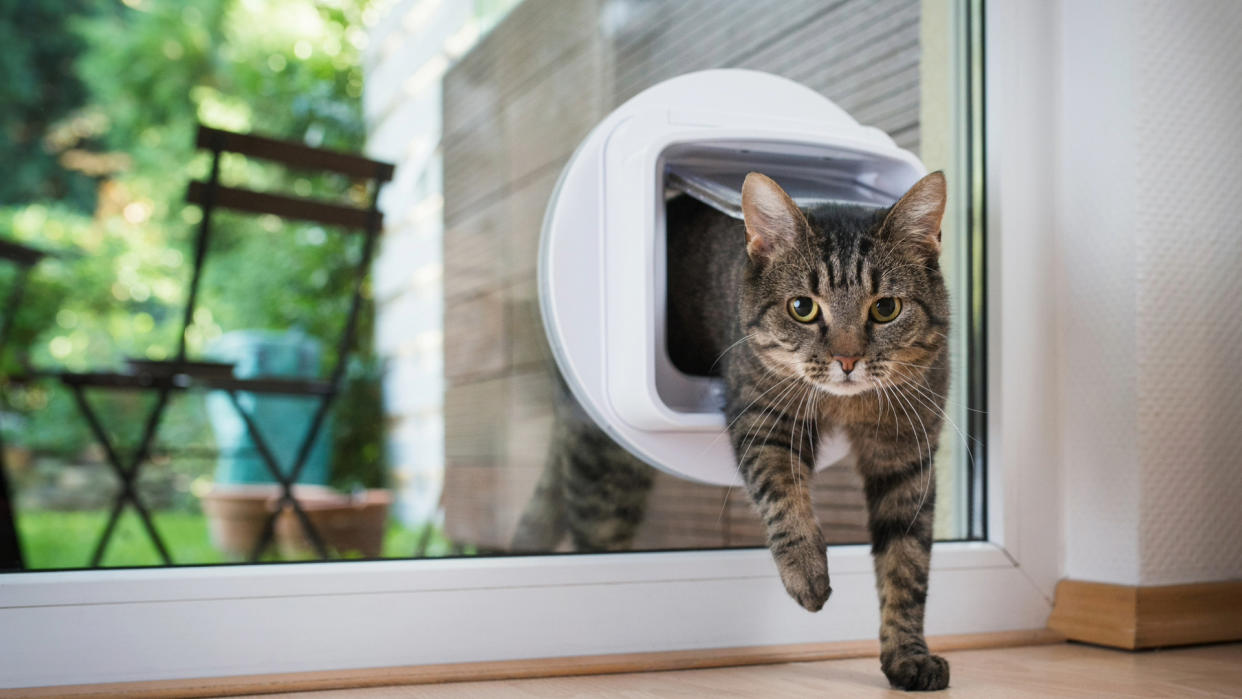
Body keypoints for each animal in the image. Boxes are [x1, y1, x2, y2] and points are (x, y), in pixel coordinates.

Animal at [514, 172, 948, 690]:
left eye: (886, 308)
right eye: (802, 308)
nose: (847, 360)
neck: (844, 405)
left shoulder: (907, 454)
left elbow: (907, 561)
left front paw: (908, 654)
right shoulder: (763, 418)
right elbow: (782, 497)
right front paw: (806, 572)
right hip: (604, 468)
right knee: (596, 535)